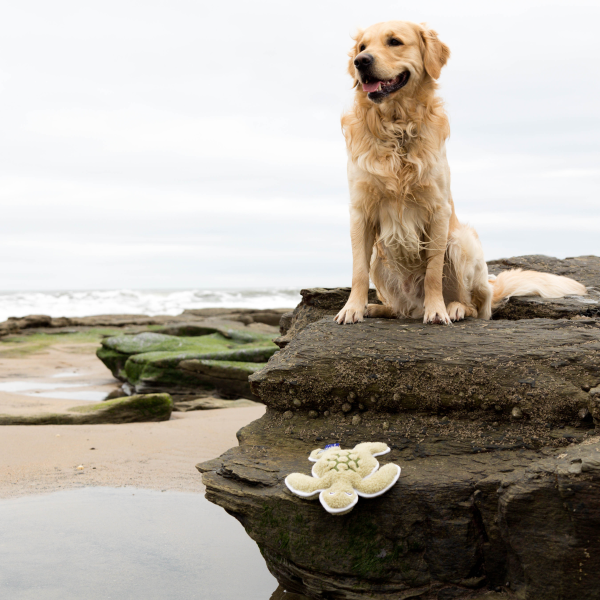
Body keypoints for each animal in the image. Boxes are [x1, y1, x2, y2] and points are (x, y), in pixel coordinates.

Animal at [336, 21, 588, 326]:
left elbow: (433, 272)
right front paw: (353, 308)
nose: (361, 62)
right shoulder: (360, 210)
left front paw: (436, 310)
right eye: (362, 47)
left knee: (477, 306)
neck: (397, 128)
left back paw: (454, 308)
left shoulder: (438, 210)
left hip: (462, 241)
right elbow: (358, 271)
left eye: (394, 41)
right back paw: (378, 308)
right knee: (399, 308)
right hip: (380, 258)